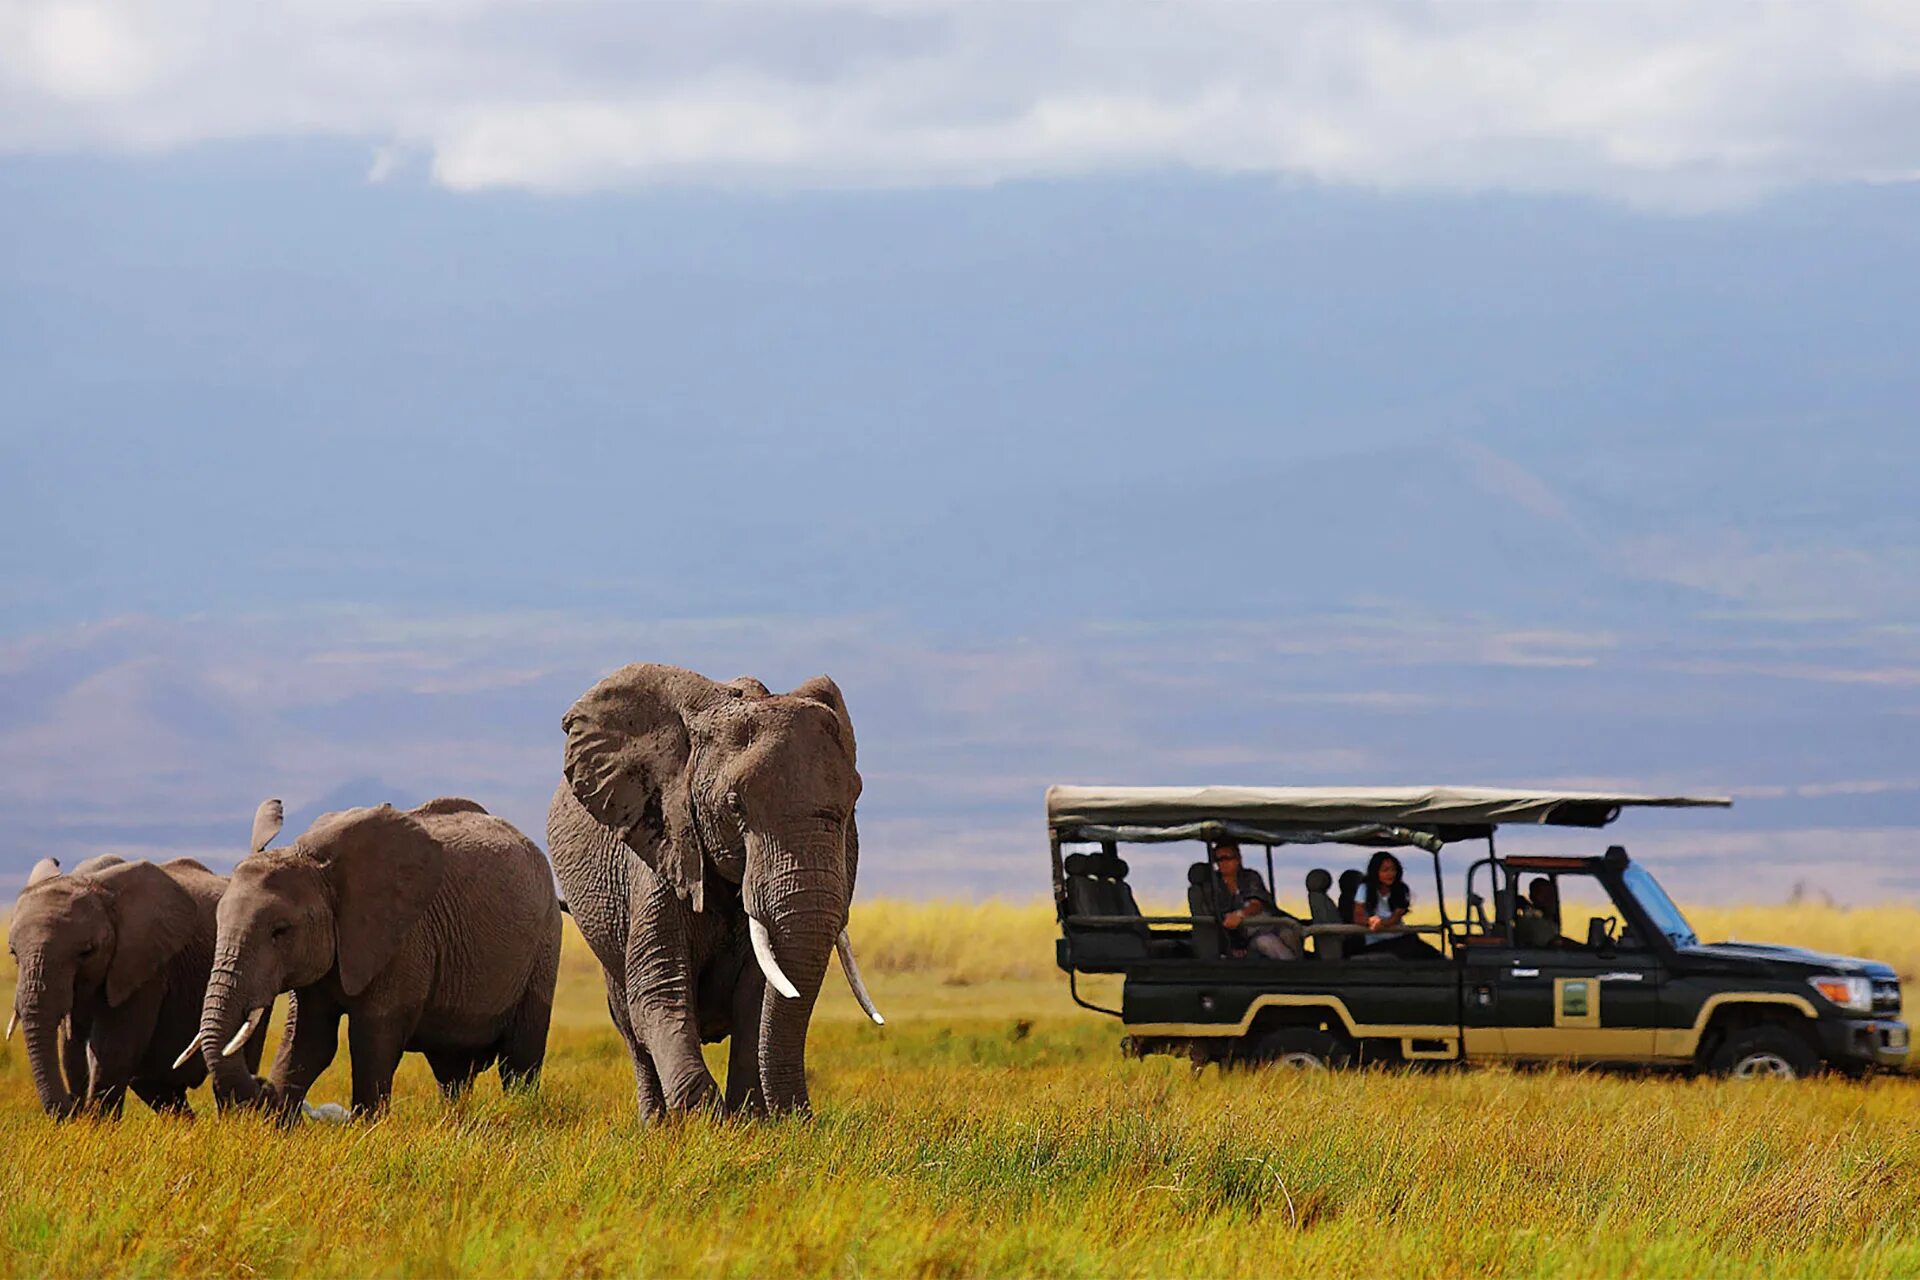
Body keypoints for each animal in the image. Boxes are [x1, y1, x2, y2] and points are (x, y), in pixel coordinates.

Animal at [7, 855, 264, 1128]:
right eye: (13, 953)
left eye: (86, 952)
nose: (71, 1108)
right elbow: (71, 1050)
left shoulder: (144, 966)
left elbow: (112, 1048)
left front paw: (97, 1127)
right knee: (152, 1084)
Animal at [199, 794, 564, 1113]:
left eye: (281, 931)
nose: (261, 1087)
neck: (317, 864)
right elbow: (308, 1041)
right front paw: (279, 1126)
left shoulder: (403, 942)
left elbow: (372, 1041)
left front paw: (366, 1127)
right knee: (453, 1070)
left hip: (544, 945)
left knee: (520, 1059)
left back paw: (520, 1112)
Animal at [549, 660, 883, 1120]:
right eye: (735, 806)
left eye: (853, 804)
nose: (803, 1117)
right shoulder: (661, 844)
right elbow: (659, 990)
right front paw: (704, 1120)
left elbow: (757, 998)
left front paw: (749, 1121)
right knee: (630, 1026)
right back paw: (655, 1124)